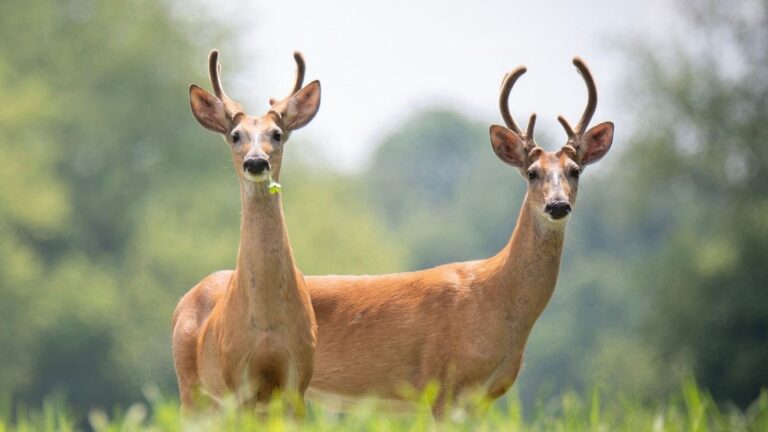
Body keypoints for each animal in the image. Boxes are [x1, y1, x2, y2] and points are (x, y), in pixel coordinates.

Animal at [171, 49, 321, 415]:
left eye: (277, 134)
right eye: (236, 134)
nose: (255, 162)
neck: (267, 328)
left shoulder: (298, 377)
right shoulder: (235, 380)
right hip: (190, 388)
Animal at [303, 57, 614, 416]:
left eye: (575, 171)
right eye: (532, 173)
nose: (558, 205)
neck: (495, 297)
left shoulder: (483, 399)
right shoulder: (440, 383)